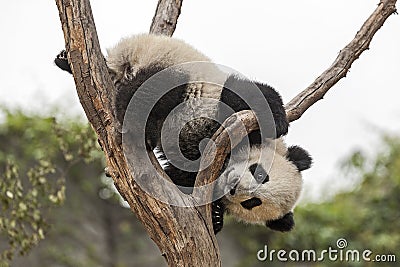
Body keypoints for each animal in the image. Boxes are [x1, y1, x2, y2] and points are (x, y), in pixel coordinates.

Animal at [52, 33, 310, 234]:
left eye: (253, 202)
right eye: (259, 173)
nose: (234, 185)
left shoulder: (192, 172)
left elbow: (181, 179)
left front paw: (216, 216)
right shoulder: (227, 103)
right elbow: (251, 94)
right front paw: (279, 120)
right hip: (169, 62)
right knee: (151, 91)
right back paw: (140, 129)